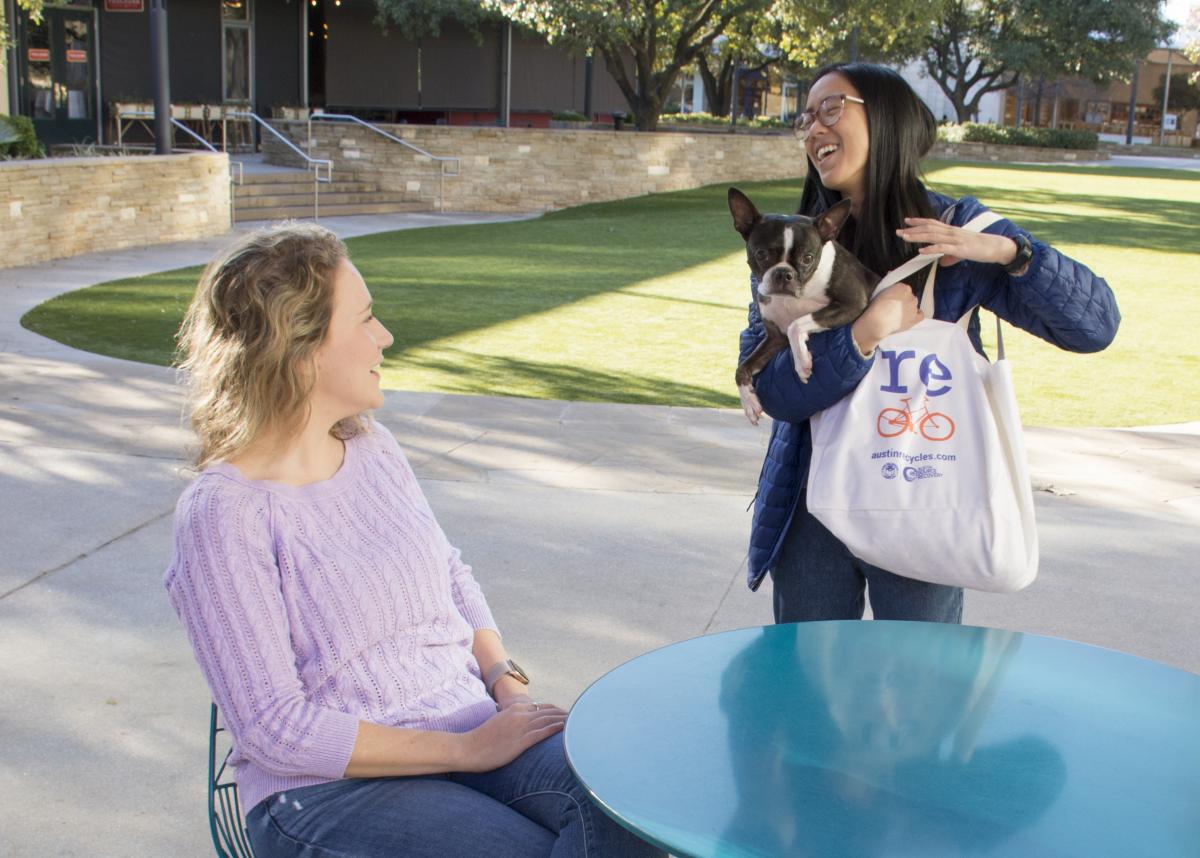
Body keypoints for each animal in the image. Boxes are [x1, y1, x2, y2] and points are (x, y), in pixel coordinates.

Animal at [720, 190, 883, 427]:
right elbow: (742, 368)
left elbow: (796, 325)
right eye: (761, 254)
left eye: (808, 258)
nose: (783, 273)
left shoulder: (852, 303)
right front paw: (749, 403)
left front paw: (802, 362)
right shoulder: (775, 337)